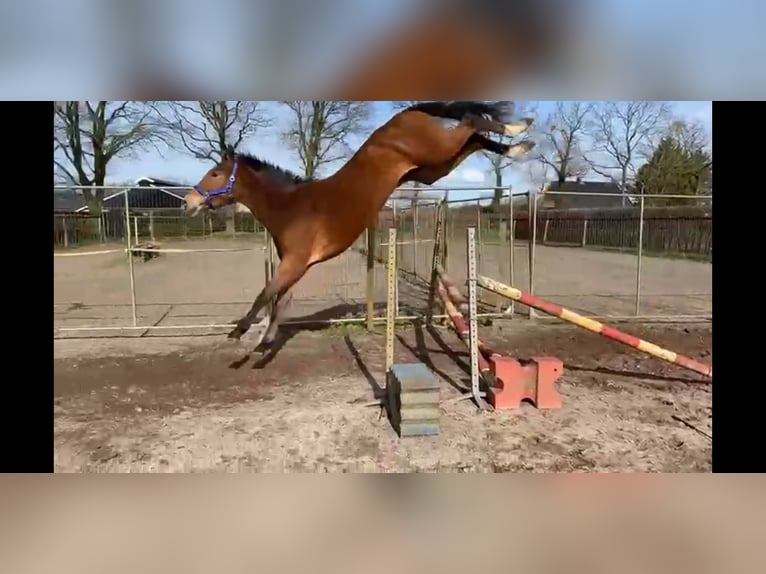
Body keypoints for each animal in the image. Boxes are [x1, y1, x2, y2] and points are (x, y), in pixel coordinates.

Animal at [184, 100, 535, 352]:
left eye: (215, 173)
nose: (188, 201)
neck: (290, 207)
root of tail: (405, 114)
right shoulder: (296, 266)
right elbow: (279, 299)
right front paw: (265, 339)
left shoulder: (295, 262)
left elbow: (265, 294)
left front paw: (240, 332)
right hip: (432, 170)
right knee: (475, 138)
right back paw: (520, 144)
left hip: (436, 151)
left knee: (472, 123)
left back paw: (518, 128)